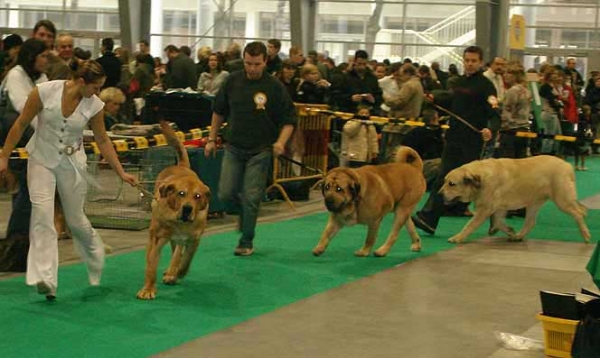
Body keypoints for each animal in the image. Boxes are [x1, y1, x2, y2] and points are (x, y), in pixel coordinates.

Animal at [136, 120, 211, 300]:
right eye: (181, 193)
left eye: (197, 196)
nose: (187, 208)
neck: (179, 222)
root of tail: (180, 166)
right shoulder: (158, 238)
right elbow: (151, 265)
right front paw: (148, 289)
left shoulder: (193, 239)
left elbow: (186, 259)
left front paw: (177, 273)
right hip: (156, 234)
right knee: (153, 252)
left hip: (179, 240)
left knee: (177, 253)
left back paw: (172, 272)